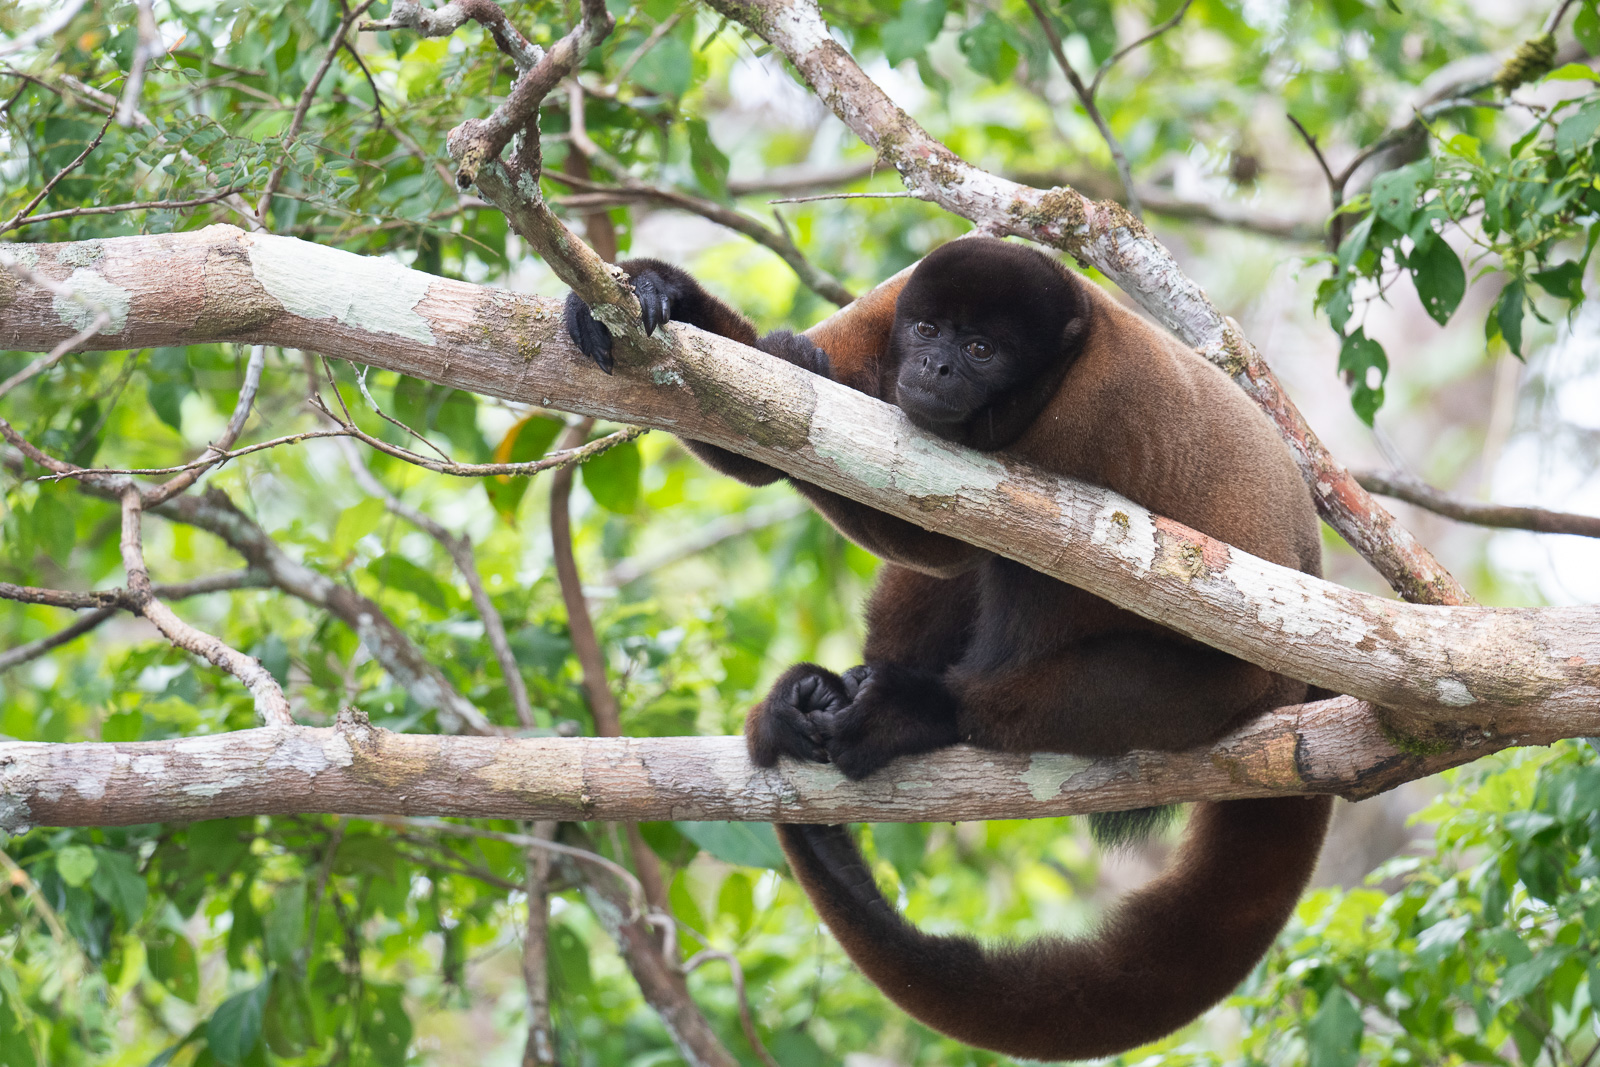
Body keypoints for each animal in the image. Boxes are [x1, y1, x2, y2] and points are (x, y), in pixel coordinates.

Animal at [565, 237, 1333, 1061]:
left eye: (981, 350)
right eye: (930, 331)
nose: (933, 369)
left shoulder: (1088, 416)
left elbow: (945, 535)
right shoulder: (892, 302)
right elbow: (768, 437)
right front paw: (662, 290)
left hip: (1228, 687)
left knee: (1034, 581)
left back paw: (915, 712)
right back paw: (824, 697)